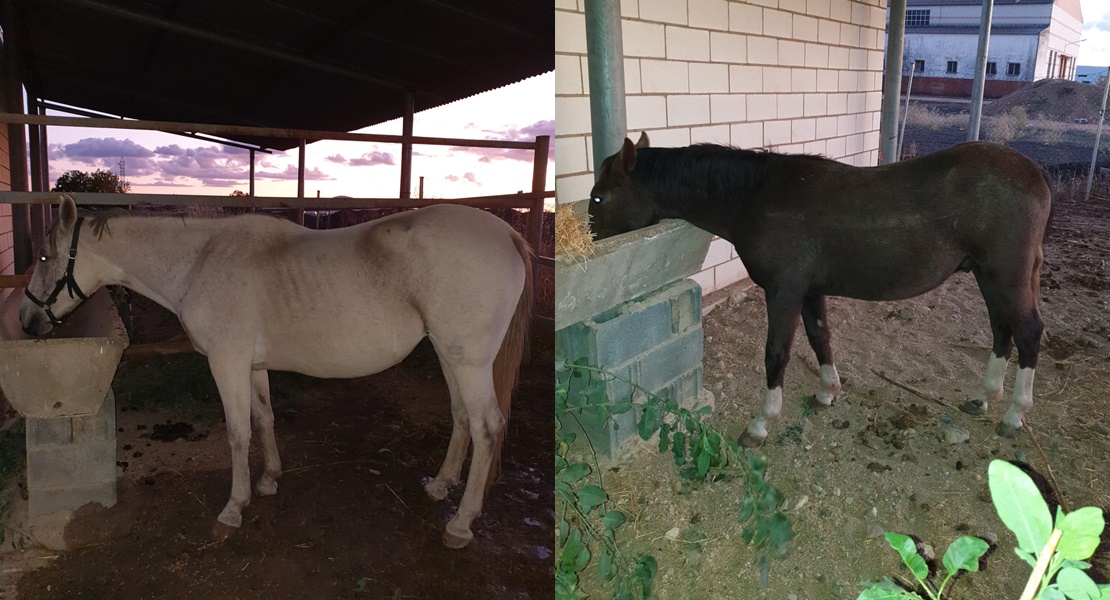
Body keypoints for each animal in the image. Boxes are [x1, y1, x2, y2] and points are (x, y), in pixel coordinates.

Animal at [20, 196, 532, 547]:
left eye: (43, 257)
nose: (27, 322)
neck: (200, 260)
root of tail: (506, 234)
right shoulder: (252, 365)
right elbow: (264, 419)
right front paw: (268, 480)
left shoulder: (226, 361)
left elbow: (237, 433)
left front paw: (233, 508)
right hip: (451, 356)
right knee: (462, 417)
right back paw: (441, 486)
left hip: (468, 362)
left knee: (488, 427)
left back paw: (461, 523)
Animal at [590, 134, 1047, 443]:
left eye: (598, 198)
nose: (590, 242)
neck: (755, 196)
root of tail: (1035, 175)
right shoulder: (809, 292)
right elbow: (820, 338)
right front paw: (828, 392)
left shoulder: (784, 291)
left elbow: (776, 354)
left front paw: (762, 422)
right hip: (988, 277)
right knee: (1001, 330)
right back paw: (983, 397)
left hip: (1004, 278)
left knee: (1027, 333)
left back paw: (1014, 414)